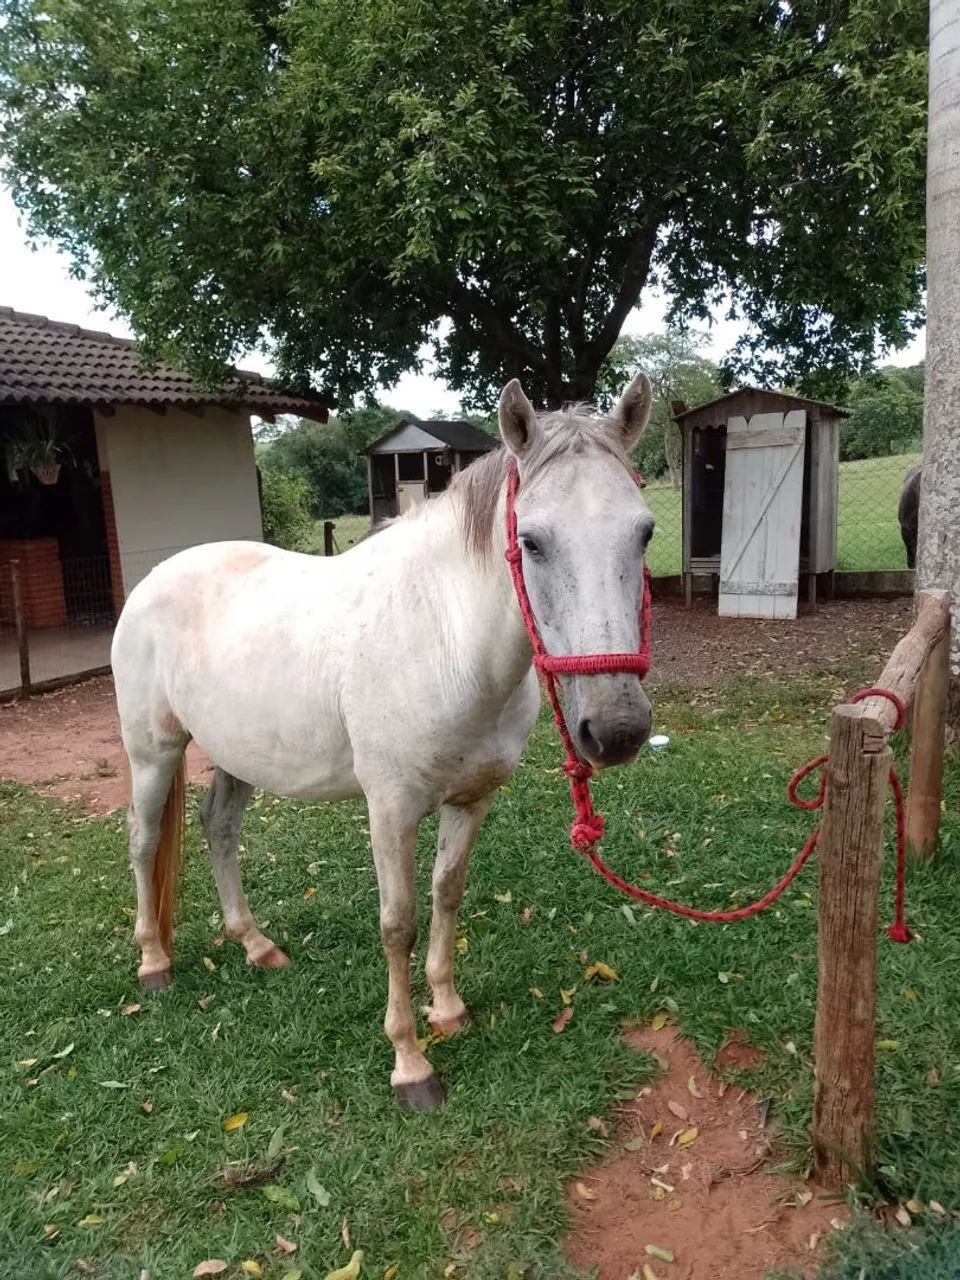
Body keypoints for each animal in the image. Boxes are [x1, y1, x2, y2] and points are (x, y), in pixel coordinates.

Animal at [111, 374, 656, 1109]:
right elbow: (398, 923)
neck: (445, 639)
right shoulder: (391, 809)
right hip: (153, 753)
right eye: (534, 541)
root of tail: (154, 579)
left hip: (237, 755)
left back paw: (256, 945)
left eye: (644, 532)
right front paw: (410, 1064)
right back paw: (153, 963)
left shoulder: (471, 801)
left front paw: (448, 1011)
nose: (617, 729)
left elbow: (447, 893)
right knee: (144, 843)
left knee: (218, 827)